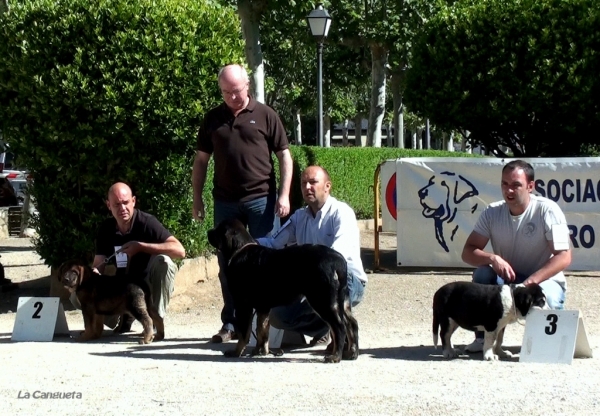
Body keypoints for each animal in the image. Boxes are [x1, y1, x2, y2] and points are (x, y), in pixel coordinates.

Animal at [209, 219, 358, 362]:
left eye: (218, 230)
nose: (208, 231)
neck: (239, 250)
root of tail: (338, 261)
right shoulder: (263, 307)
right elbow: (262, 329)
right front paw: (260, 351)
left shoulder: (243, 304)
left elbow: (244, 332)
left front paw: (236, 352)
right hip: (342, 301)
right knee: (352, 324)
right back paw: (352, 353)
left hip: (322, 300)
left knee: (339, 327)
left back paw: (335, 356)